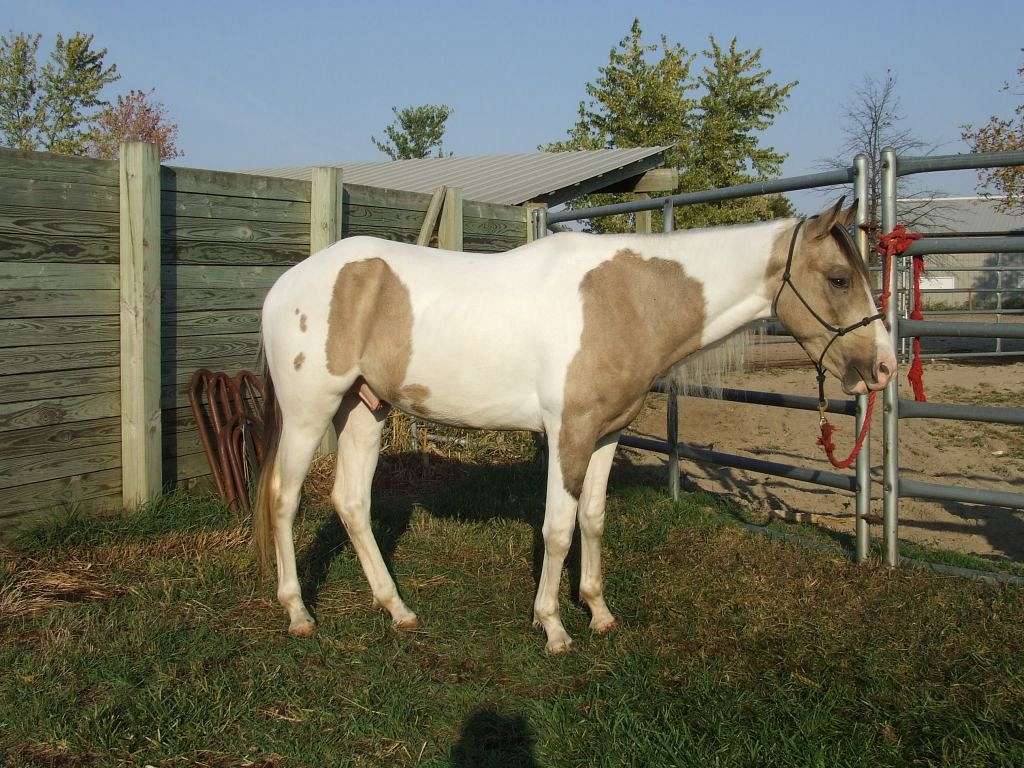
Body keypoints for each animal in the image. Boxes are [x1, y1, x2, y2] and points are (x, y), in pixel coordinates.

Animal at [252, 198, 896, 653]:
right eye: (839, 279)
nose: (884, 366)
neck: (627, 302)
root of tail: (286, 285)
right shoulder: (569, 434)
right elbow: (557, 529)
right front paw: (554, 627)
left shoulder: (606, 436)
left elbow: (592, 520)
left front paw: (599, 612)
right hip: (310, 413)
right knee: (285, 500)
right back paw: (298, 612)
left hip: (364, 409)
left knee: (352, 503)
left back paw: (398, 609)